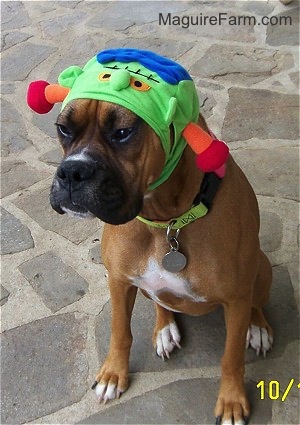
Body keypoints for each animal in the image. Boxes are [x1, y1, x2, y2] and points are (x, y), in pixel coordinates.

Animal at [27, 48, 274, 420]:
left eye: (123, 133)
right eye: (63, 129)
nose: (72, 171)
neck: (166, 221)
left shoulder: (235, 298)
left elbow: (231, 357)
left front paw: (231, 401)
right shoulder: (118, 280)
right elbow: (119, 331)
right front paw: (113, 374)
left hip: (261, 269)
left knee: (255, 303)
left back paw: (257, 327)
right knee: (160, 300)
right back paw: (164, 328)